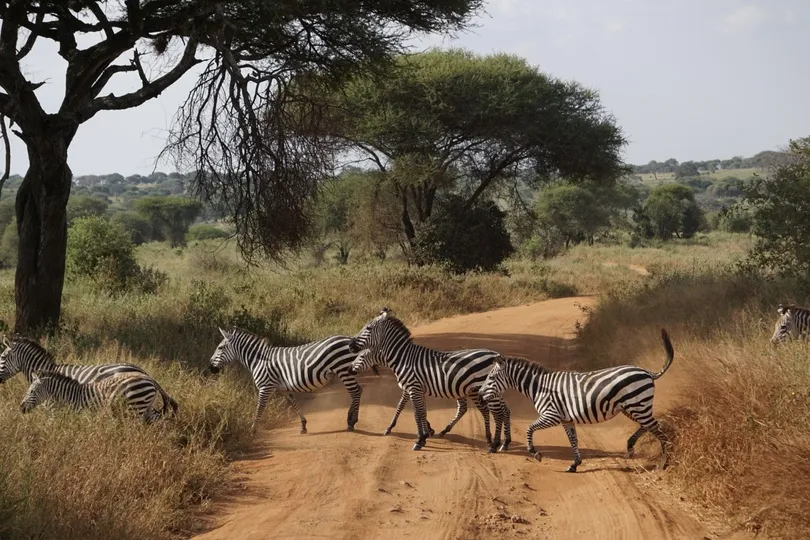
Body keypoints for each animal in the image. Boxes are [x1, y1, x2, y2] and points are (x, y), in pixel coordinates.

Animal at [20, 371, 173, 422]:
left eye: (32, 391)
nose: (21, 408)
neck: (71, 396)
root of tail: (149, 378)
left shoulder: (83, 416)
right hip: (146, 407)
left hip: (135, 409)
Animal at [208, 327, 372, 434]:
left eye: (220, 348)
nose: (210, 368)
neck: (258, 361)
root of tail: (349, 339)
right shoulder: (284, 389)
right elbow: (294, 404)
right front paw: (303, 425)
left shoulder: (265, 387)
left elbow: (260, 408)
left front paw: (252, 429)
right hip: (346, 372)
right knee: (358, 391)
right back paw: (350, 419)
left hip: (343, 371)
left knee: (356, 392)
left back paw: (352, 422)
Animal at [348, 309, 512, 452]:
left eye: (368, 328)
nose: (350, 345)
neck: (403, 358)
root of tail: (495, 354)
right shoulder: (416, 389)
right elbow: (420, 411)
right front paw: (425, 434)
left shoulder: (413, 388)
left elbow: (416, 412)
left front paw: (419, 440)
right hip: (489, 390)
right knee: (503, 411)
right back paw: (504, 442)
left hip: (481, 388)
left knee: (495, 413)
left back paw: (493, 443)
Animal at [479, 328, 674, 472]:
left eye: (491, 377)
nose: (480, 394)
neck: (539, 387)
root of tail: (647, 372)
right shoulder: (566, 419)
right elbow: (573, 440)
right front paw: (574, 464)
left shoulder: (551, 415)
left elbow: (529, 429)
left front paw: (535, 453)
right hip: (632, 407)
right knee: (650, 426)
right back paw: (632, 446)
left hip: (638, 405)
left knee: (657, 428)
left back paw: (664, 463)